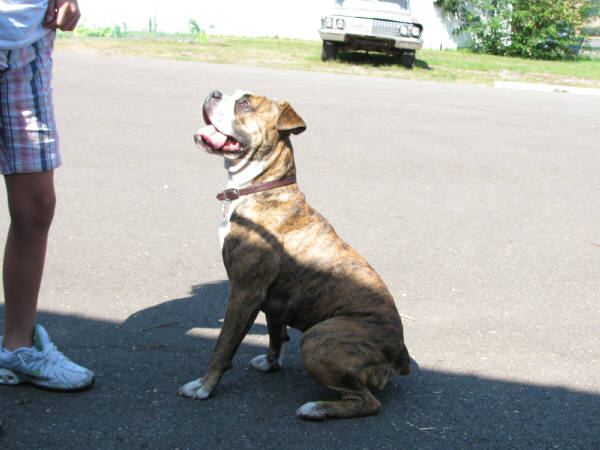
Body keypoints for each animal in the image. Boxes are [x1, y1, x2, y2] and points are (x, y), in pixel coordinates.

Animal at [179, 89, 412, 420]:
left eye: (244, 104)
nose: (214, 92)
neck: (261, 187)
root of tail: (400, 353)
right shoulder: (269, 300)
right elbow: (275, 333)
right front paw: (270, 363)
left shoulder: (244, 291)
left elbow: (223, 346)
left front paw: (204, 386)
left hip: (317, 340)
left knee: (368, 402)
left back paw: (316, 408)